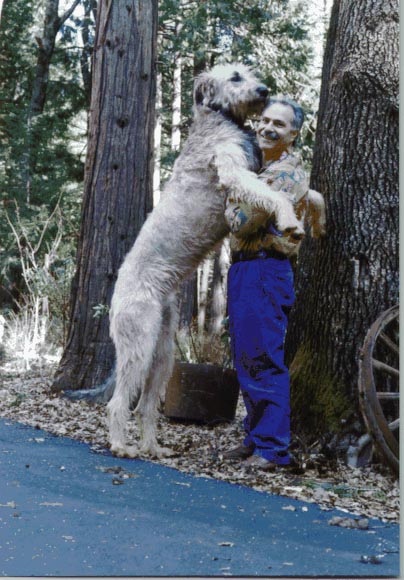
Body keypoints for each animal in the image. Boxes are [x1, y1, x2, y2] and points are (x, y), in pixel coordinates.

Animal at [107, 63, 304, 460]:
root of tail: (117, 291)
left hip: (164, 350)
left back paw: (153, 446)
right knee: (119, 401)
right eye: (234, 76)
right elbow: (268, 192)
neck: (220, 118)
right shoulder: (234, 171)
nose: (264, 89)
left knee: (148, 403)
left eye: (249, 71)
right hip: (138, 343)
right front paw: (290, 218)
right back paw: (121, 445)